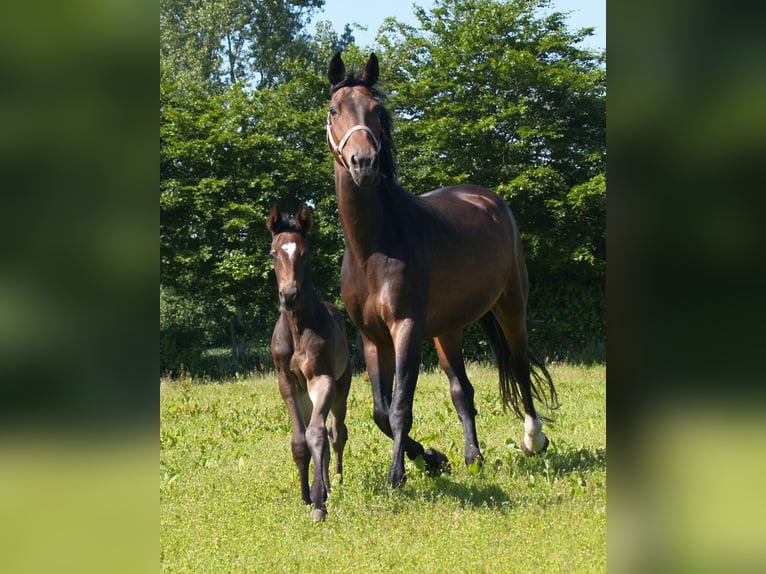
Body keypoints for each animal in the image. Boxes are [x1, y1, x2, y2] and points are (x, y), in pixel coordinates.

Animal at [268, 205, 352, 524]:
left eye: (305, 253)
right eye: (273, 252)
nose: (289, 295)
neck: (297, 329)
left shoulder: (322, 379)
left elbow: (317, 435)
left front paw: (319, 504)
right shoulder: (287, 383)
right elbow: (299, 440)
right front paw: (307, 496)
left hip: (342, 385)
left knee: (336, 433)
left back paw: (336, 483)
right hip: (304, 394)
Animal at [328, 53, 560, 490]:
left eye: (377, 111)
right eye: (334, 110)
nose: (364, 164)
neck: (374, 246)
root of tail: (488, 199)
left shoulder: (406, 329)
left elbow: (400, 407)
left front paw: (398, 475)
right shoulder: (372, 337)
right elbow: (381, 411)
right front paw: (433, 458)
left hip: (510, 306)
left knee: (520, 365)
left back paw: (533, 439)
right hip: (447, 330)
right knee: (461, 390)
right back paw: (473, 458)